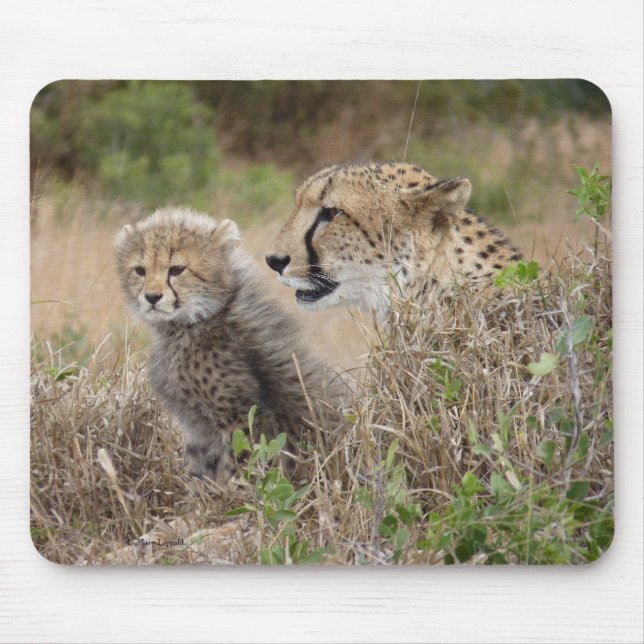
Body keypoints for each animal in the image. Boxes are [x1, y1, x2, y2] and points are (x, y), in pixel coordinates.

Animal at [115, 207, 345, 482]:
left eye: (177, 270)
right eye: (140, 270)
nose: (151, 297)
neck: (196, 321)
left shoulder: (242, 417)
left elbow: (241, 465)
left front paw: (233, 492)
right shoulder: (200, 431)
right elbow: (199, 469)